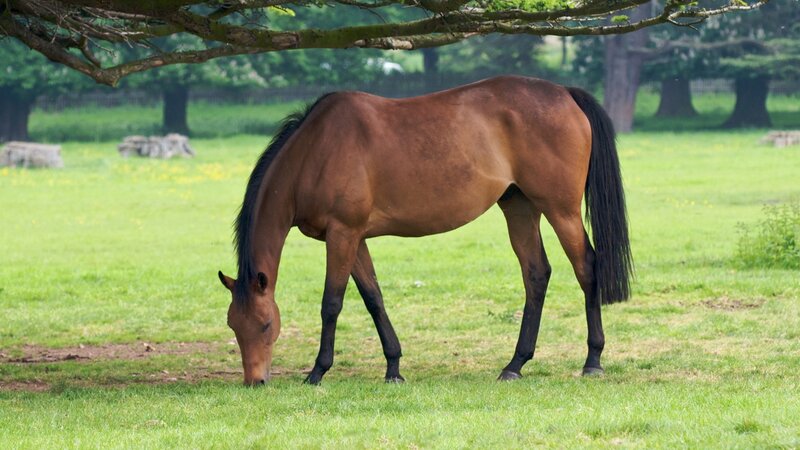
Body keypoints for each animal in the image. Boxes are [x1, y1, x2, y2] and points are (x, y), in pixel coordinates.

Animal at [218, 75, 633, 385]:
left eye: (266, 324)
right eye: (233, 326)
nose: (255, 381)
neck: (315, 151)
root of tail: (564, 93)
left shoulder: (342, 235)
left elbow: (331, 303)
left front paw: (318, 372)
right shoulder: (355, 239)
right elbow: (374, 298)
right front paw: (393, 368)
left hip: (561, 210)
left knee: (586, 268)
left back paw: (593, 360)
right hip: (519, 206)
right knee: (536, 274)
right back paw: (515, 365)